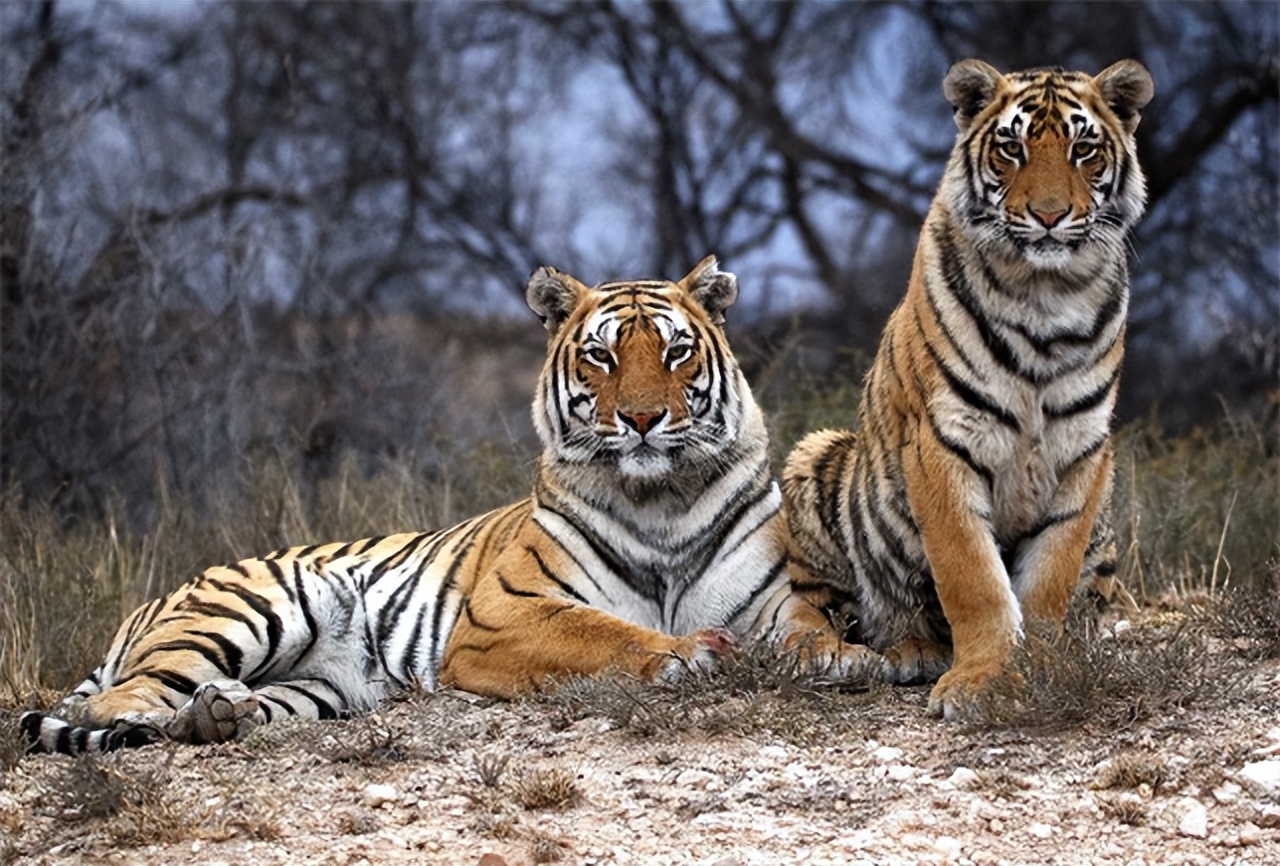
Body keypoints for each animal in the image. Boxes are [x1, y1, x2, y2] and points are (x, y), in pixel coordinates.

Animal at [22, 256, 864, 754]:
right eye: (600, 355)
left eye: (677, 350)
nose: (642, 418)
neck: (662, 498)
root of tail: (152, 601)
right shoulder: (504, 616)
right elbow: (601, 632)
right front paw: (684, 653)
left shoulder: (771, 600)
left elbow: (807, 629)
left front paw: (845, 657)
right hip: (248, 610)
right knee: (119, 699)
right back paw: (172, 712)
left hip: (319, 688)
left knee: (225, 703)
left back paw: (220, 714)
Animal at [782, 59, 1155, 719]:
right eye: (1012, 148)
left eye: (1083, 149)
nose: (1050, 216)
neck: (1046, 295)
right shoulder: (943, 443)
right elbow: (974, 576)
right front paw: (981, 679)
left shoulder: (1084, 450)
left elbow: (1050, 577)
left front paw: (1039, 668)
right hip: (815, 457)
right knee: (808, 606)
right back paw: (860, 653)